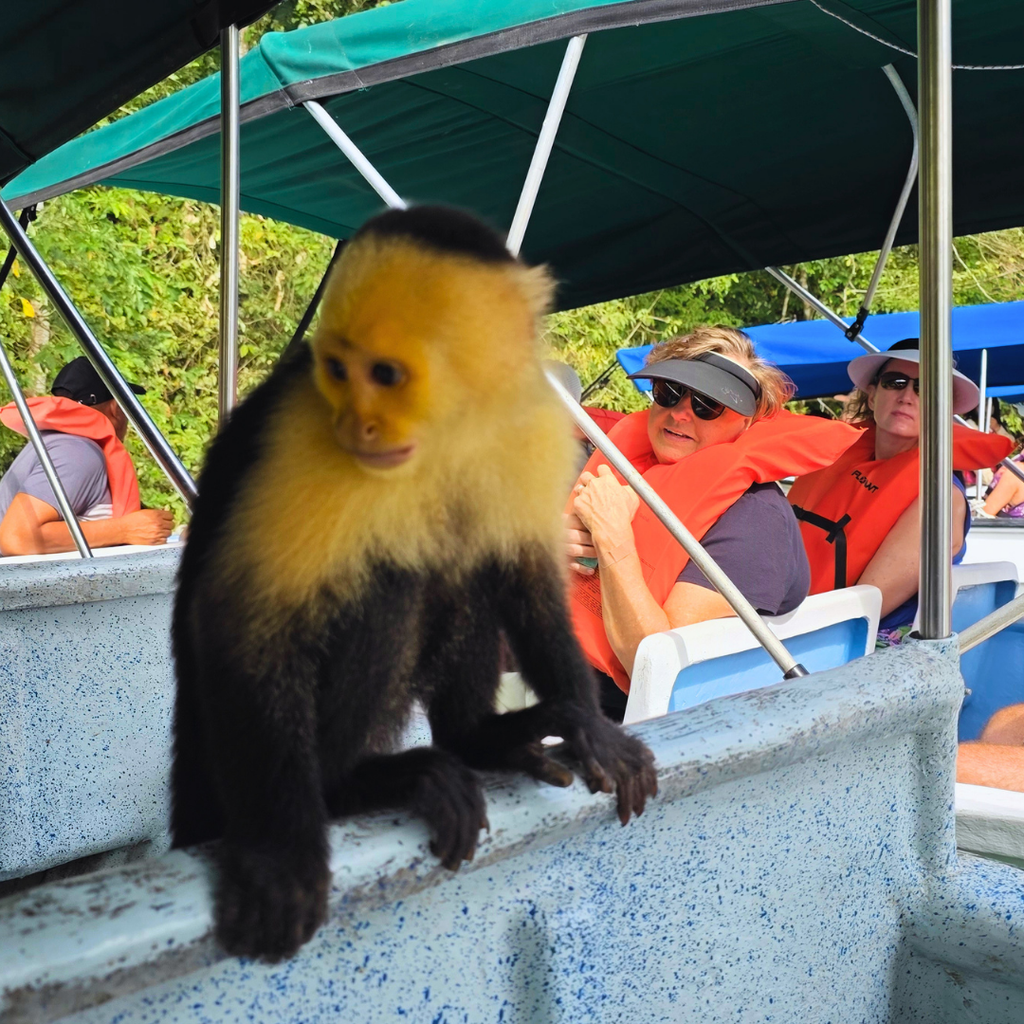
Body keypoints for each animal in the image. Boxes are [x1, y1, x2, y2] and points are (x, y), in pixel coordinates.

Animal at [170, 205, 658, 963]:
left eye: (387, 374)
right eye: (337, 371)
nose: (357, 424)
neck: (444, 433)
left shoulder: (529, 416)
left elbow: (526, 575)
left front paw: (592, 730)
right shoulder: (305, 435)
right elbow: (244, 622)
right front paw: (281, 855)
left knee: (464, 567)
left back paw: (480, 738)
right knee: (391, 583)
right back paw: (350, 786)